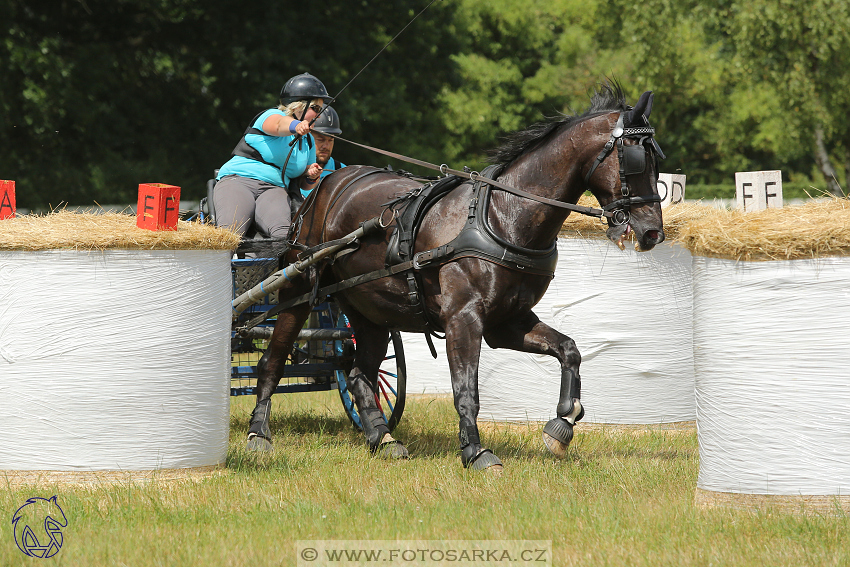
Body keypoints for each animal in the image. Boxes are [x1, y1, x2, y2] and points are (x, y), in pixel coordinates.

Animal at [243, 82, 664, 470]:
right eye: (635, 159)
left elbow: (569, 349)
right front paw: (475, 451)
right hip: (298, 289)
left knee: (360, 373)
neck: (503, 215)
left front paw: (562, 425)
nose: (652, 233)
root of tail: (321, 189)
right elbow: (466, 389)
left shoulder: (507, 322)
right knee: (272, 361)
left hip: (370, 310)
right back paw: (259, 434)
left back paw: (382, 438)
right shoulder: (464, 318)